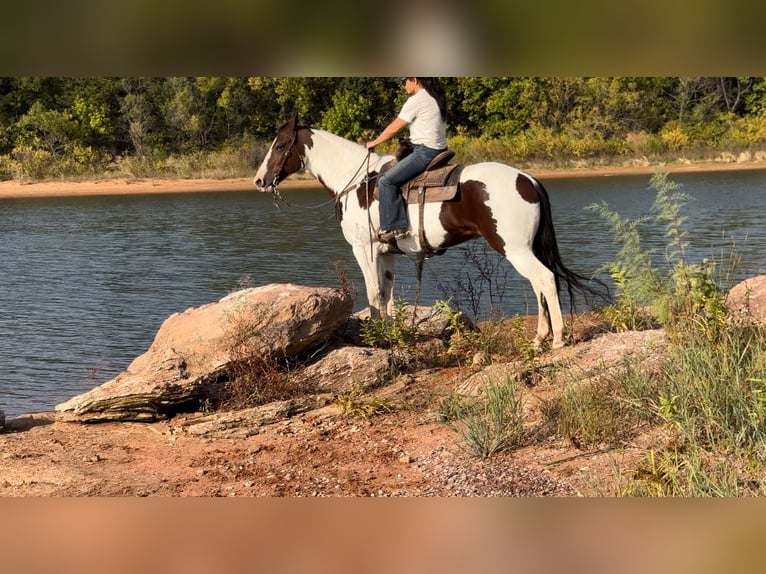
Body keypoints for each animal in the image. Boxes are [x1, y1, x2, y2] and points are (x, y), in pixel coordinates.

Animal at [255, 116, 604, 352]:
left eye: (280, 145)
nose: (259, 180)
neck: (356, 182)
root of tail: (527, 178)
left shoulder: (364, 248)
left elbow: (372, 294)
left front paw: (377, 338)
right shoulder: (386, 253)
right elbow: (386, 295)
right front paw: (391, 335)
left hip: (514, 248)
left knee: (545, 279)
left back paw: (557, 340)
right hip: (524, 249)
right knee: (539, 283)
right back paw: (539, 338)